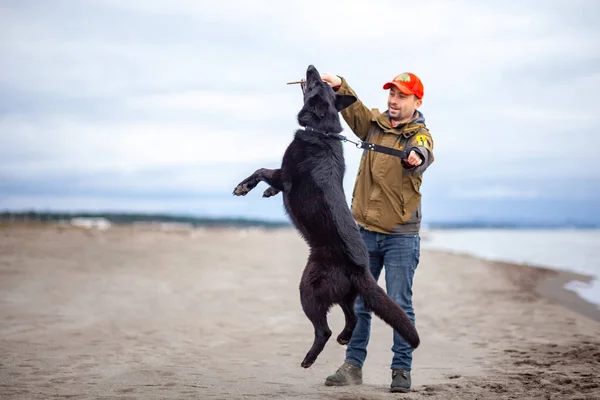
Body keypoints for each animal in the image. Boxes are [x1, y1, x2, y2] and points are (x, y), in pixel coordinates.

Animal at [232, 64, 420, 368]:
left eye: (314, 83)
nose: (311, 67)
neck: (323, 132)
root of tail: (360, 269)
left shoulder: (285, 174)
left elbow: (261, 171)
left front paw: (245, 186)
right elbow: (269, 179)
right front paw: (269, 191)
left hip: (309, 287)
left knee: (324, 329)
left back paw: (309, 358)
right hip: (346, 295)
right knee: (353, 318)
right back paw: (343, 337)